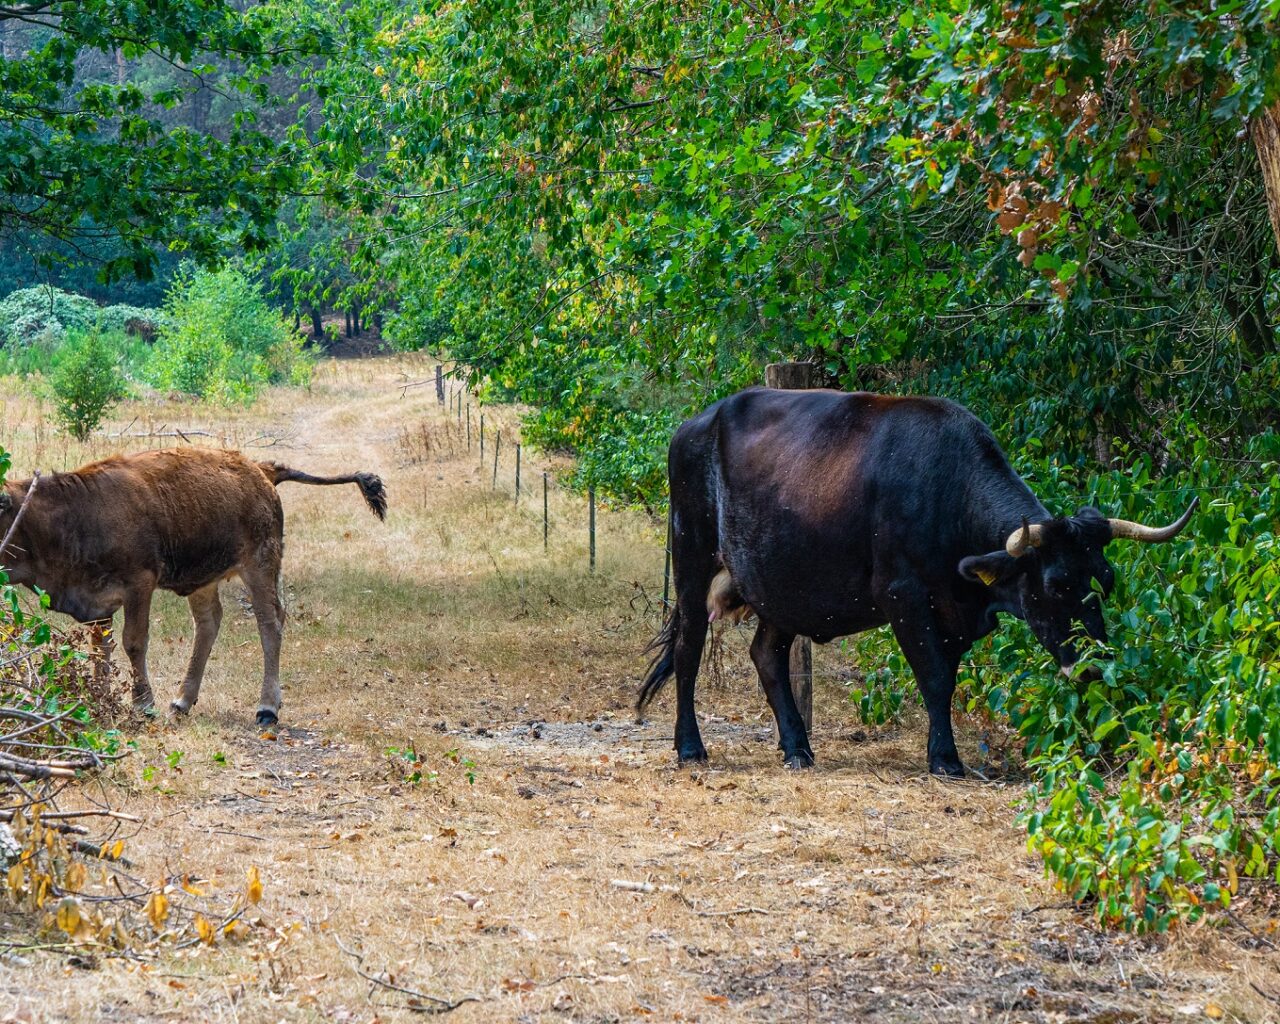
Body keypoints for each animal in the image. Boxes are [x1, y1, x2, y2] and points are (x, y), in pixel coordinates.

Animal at [0, 450, 384, 727]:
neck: (73, 513)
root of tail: (259, 468)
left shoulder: (140, 584)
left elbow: (134, 642)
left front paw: (144, 705)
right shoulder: (96, 602)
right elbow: (100, 650)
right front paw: (100, 700)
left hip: (260, 565)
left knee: (270, 623)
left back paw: (266, 708)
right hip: (206, 581)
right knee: (209, 623)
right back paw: (183, 700)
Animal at [640, 386, 1198, 778]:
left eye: (1105, 579)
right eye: (1059, 582)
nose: (1095, 665)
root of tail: (696, 423)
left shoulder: (955, 616)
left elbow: (944, 678)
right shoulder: (903, 597)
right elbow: (933, 677)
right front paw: (945, 758)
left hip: (783, 585)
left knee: (768, 655)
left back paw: (797, 747)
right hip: (691, 559)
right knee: (688, 648)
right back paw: (690, 747)